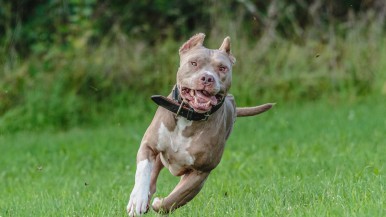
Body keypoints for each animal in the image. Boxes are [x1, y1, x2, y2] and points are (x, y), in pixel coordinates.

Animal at [126, 32, 272, 215]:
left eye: (222, 68)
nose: (207, 77)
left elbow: (176, 198)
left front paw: (160, 204)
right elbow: (144, 170)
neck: (189, 116)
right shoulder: (149, 146)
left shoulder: (201, 172)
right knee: (153, 175)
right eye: (193, 63)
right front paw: (137, 199)